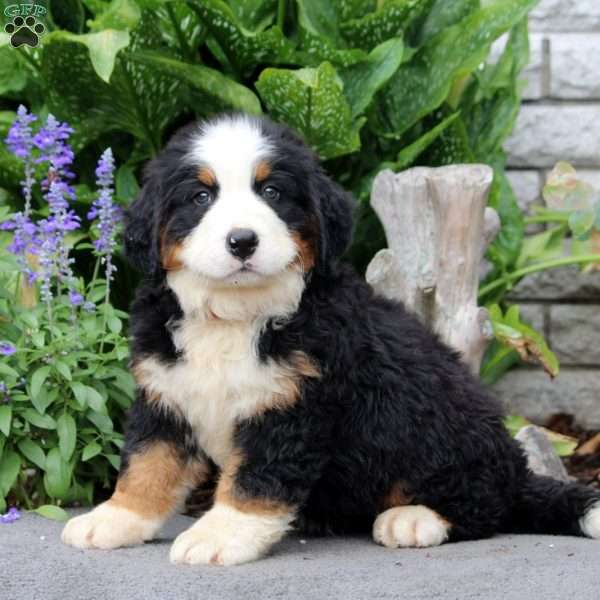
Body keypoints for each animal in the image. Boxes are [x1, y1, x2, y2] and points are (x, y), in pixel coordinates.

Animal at [61, 113, 600, 568]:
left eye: (272, 191)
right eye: (200, 197)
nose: (243, 240)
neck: (234, 315)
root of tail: (516, 467)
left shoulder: (293, 409)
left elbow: (254, 481)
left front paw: (219, 536)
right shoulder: (166, 394)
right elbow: (146, 465)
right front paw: (114, 518)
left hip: (442, 424)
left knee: (484, 504)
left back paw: (414, 518)